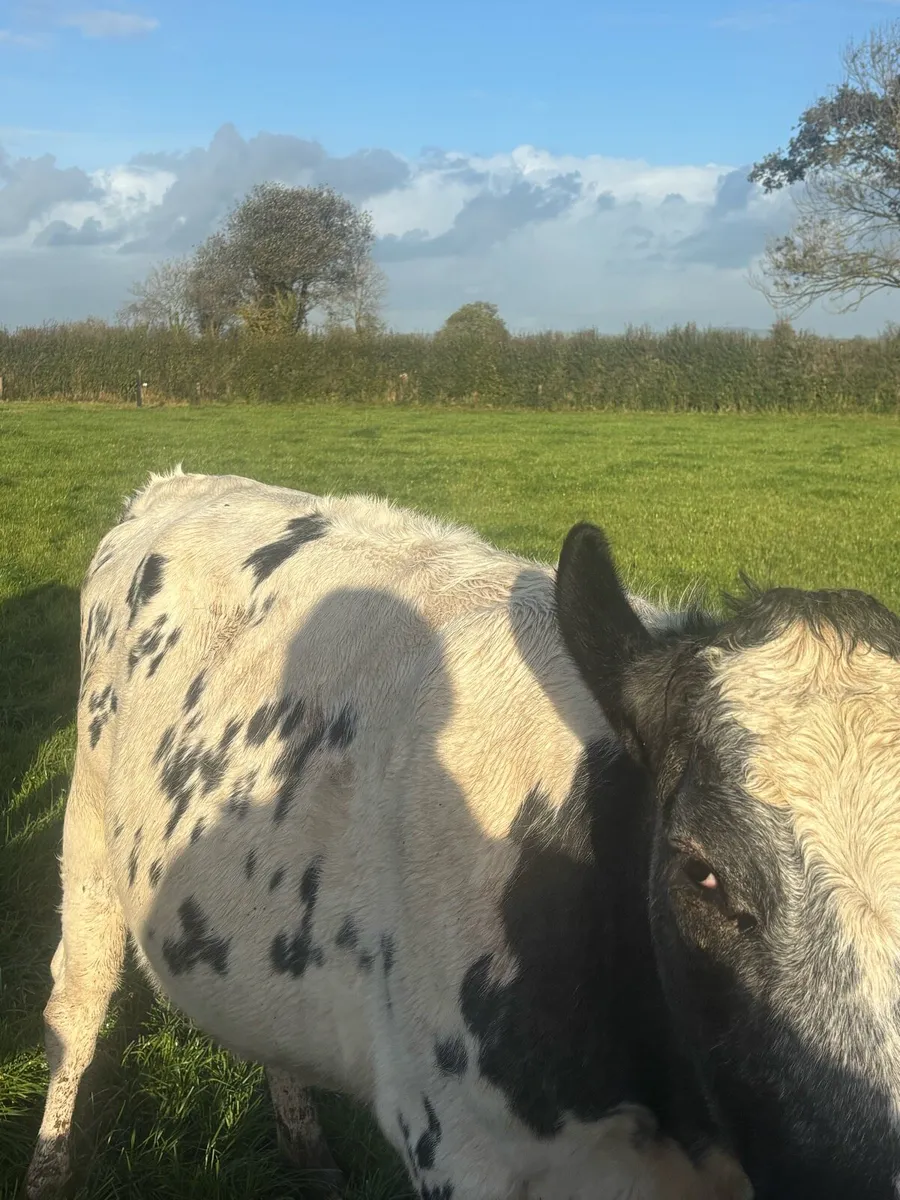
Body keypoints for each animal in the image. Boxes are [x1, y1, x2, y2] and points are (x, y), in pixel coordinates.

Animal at [24, 467, 900, 1200]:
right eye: (701, 871)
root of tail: (182, 481)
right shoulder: (459, 1147)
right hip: (91, 833)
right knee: (77, 996)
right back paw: (49, 1165)